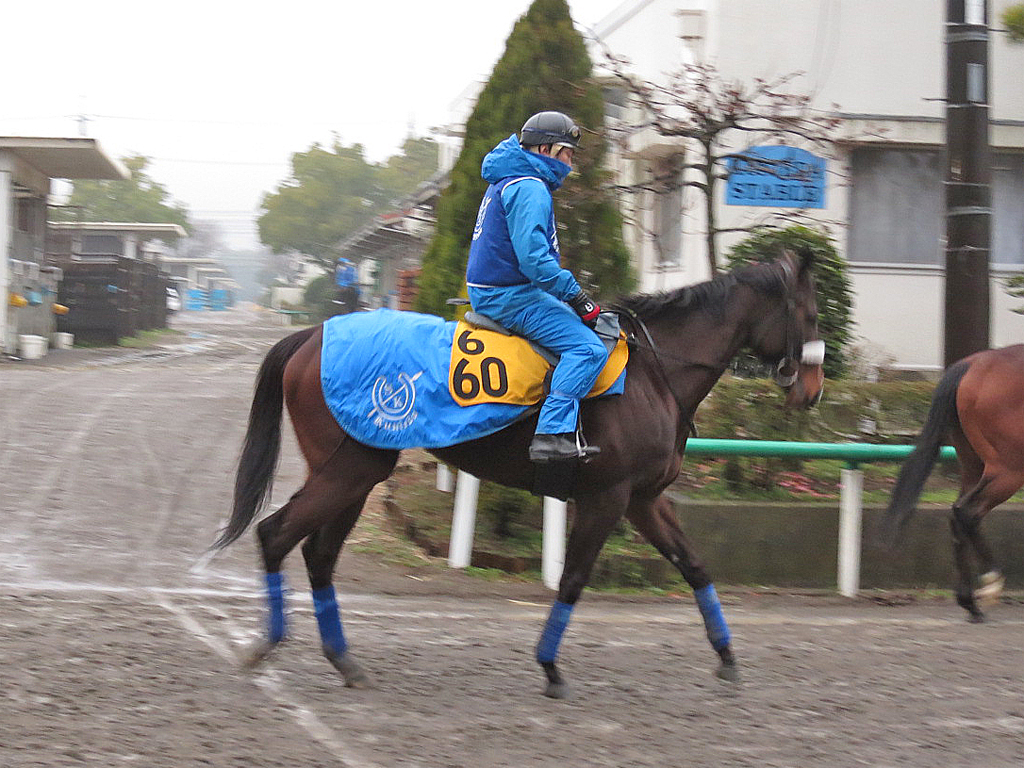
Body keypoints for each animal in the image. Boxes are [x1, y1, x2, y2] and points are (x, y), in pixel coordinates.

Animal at [214, 249, 823, 700]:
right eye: (813, 315)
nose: (813, 392)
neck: (655, 372)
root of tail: (310, 336)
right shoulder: (607, 497)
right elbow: (574, 579)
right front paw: (550, 667)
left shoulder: (644, 499)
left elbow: (694, 566)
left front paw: (728, 658)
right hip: (350, 467)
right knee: (277, 534)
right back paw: (267, 647)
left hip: (356, 473)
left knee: (319, 555)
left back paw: (344, 661)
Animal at [876, 346, 1024, 622]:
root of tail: (973, 363)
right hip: (1010, 469)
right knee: (966, 511)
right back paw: (990, 583)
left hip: (973, 464)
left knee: (958, 515)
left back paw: (970, 603)